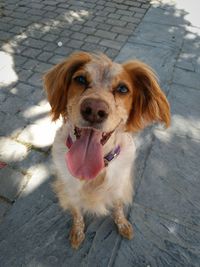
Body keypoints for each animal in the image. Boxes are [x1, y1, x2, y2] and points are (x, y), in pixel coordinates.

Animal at [43, 51, 170, 249]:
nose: (94, 110)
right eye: (80, 79)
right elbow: (77, 214)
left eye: (123, 89)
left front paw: (123, 224)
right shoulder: (71, 192)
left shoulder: (119, 186)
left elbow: (118, 208)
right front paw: (77, 232)